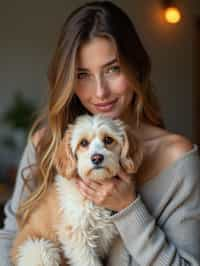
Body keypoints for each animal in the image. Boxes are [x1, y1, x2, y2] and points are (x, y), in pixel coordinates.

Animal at [10, 114, 142, 266]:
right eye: (83, 143)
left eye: (108, 140)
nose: (97, 158)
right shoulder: (78, 237)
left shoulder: (118, 241)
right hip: (39, 248)